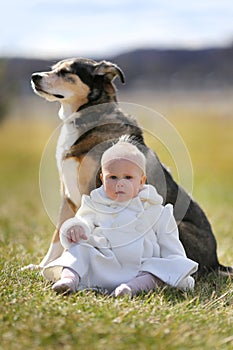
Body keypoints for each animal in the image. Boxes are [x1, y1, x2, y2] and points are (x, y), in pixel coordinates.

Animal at [30, 57, 231, 276]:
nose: (34, 77)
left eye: (66, 72)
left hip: (174, 224)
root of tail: (215, 261)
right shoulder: (67, 197)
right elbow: (58, 237)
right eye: (53, 68)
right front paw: (41, 267)